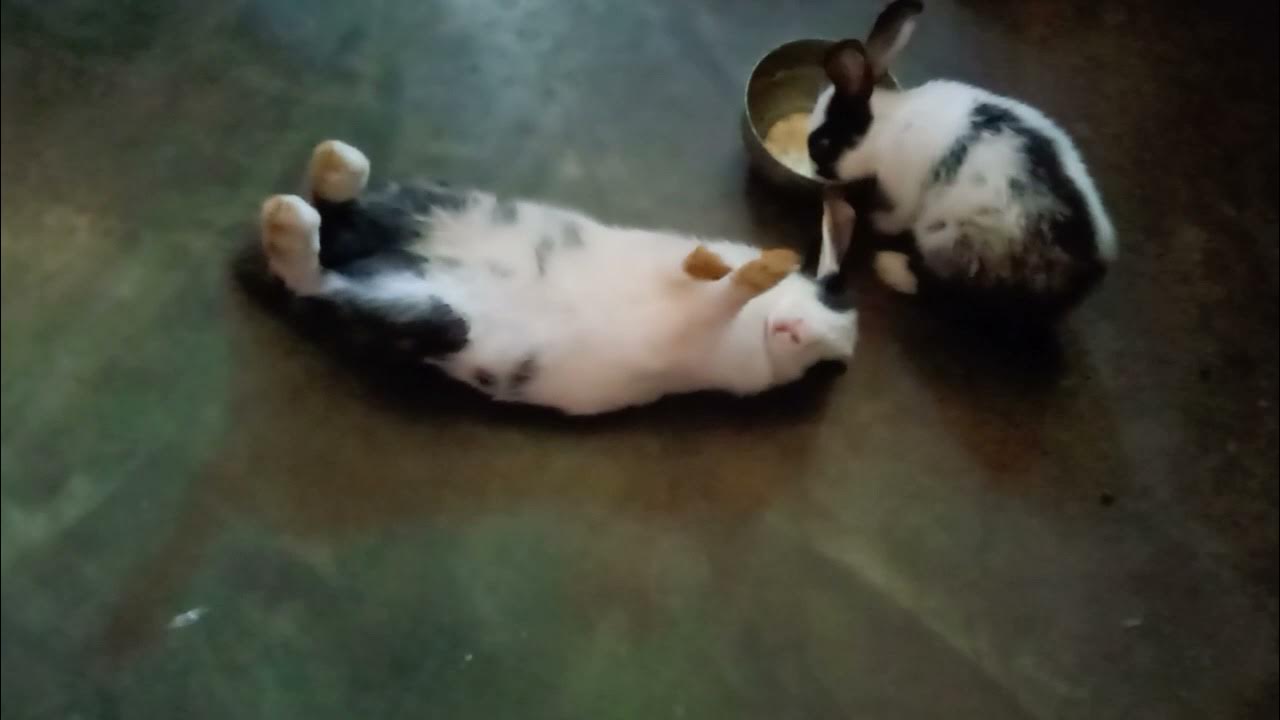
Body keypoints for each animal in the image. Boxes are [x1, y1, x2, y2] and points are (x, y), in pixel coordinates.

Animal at [241, 140, 858, 416]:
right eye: (829, 293)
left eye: (828, 364)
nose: (798, 332)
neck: (758, 325)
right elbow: (711, 277)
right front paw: (758, 267)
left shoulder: (697, 332)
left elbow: (720, 298)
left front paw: (755, 274)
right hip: (437, 212)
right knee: (337, 215)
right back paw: (332, 168)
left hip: (427, 319)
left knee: (315, 278)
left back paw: (290, 217)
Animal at [808, 0, 1116, 326]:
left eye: (822, 144)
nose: (815, 171)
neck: (885, 127)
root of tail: (1084, 275)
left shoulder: (903, 194)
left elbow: (897, 219)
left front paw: (876, 221)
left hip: (949, 240)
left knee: (947, 294)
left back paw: (889, 265)